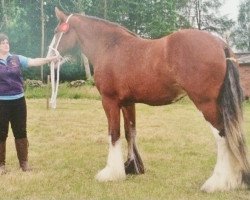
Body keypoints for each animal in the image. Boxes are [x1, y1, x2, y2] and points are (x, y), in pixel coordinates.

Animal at [47, 7, 250, 192]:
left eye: (56, 32)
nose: (49, 57)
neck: (110, 47)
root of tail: (220, 43)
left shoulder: (110, 101)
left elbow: (114, 133)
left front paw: (111, 173)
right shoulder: (128, 103)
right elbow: (130, 132)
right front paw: (132, 167)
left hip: (206, 103)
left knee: (222, 135)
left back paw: (217, 182)